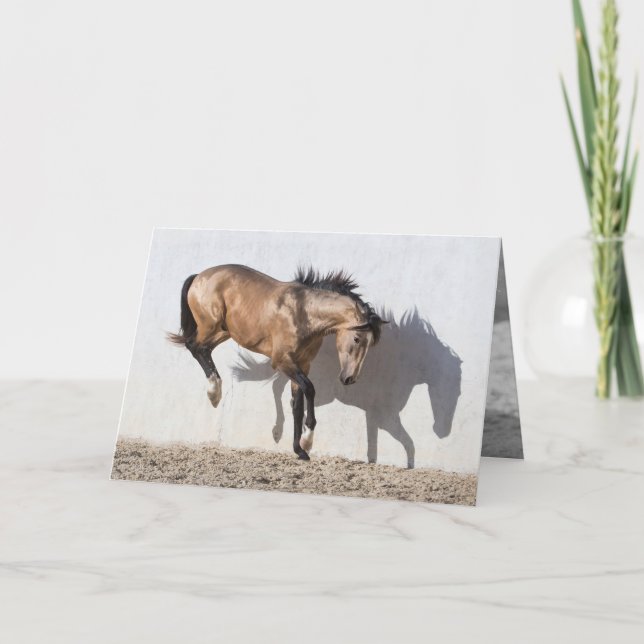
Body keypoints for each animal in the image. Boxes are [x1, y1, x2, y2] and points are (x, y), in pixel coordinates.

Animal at [168, 265, 387, 460]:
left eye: (370, 344)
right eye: (357, 339)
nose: (349, 378)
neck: (303, 313)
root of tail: (199, 276)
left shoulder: (303, 364)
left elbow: (297, 405)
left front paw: (300, 451)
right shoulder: (283, 361)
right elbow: (309, 389)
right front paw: (307, 441)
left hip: (224, 331)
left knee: (203, 349)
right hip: (211, 325)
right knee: (194, 346)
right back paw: (214, 393)